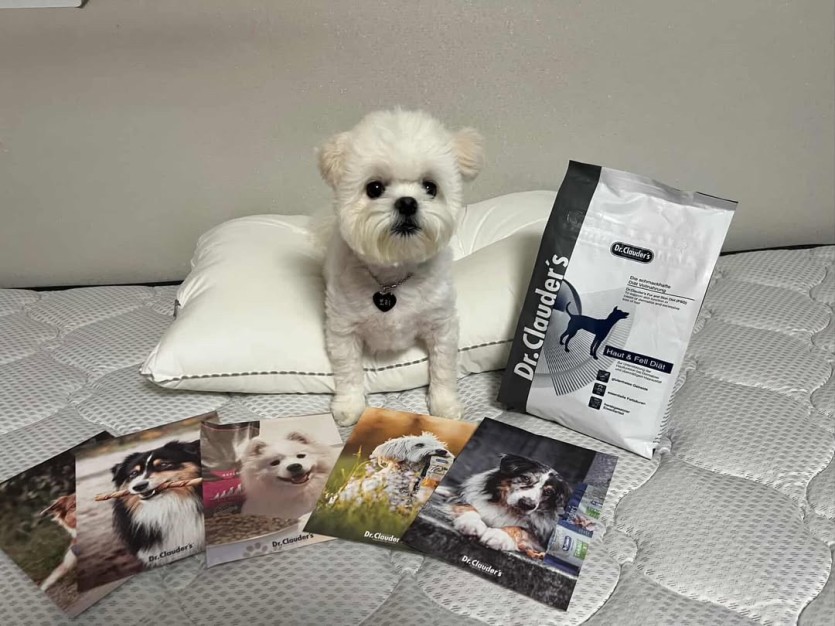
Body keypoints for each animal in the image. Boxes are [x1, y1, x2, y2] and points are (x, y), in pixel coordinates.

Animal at [316, 109, 485, 426]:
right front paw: (349, 405)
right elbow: (348, 371)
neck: (392, 274)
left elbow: (443, 368)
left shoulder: (441, 325)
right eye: (374, 188)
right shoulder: (343, 329)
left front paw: (444, 405)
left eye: (430, 187)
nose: (407, 203)